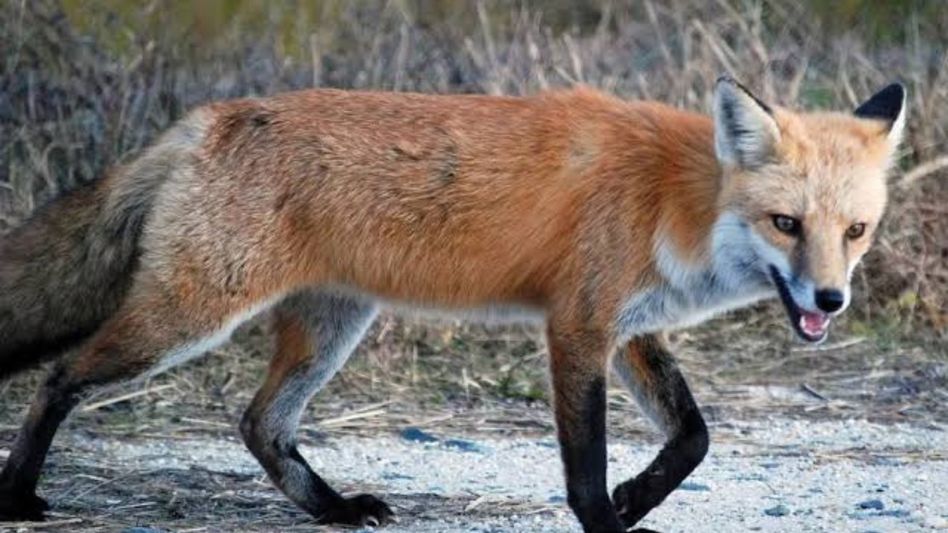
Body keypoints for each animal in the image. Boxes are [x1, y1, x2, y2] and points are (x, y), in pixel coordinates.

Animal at [0, 77, 905, 532]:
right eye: (786, 224)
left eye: (855, 230)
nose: (830, 298)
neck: (671, 199)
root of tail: (207, 119)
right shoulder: (578, 325)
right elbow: (584, 463)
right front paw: (607, 519)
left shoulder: (629, 328)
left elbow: (693, 436)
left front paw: (634, 498)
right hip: (189, 315)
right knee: (58, 376)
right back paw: (18, 493)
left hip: (328, 328)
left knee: (261, 423)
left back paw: (333, 509)